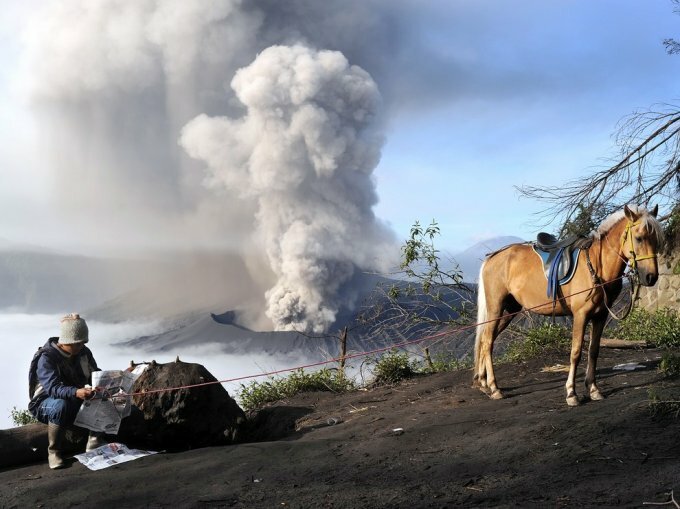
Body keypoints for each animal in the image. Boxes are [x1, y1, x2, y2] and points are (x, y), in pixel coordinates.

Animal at [476, 204, 660, 406]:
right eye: (639, 238)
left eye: (657, 239)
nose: (651, 277)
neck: (598, 265)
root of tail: (492, 257)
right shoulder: (580, 315)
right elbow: (576, 352)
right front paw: (571, 393)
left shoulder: (600, 316)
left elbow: (593, 351)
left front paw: (593, 389)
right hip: (495, 308)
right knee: (487, 342)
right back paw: (494, 387)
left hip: (509, 310)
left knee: (486, 340)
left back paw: (484, 382)